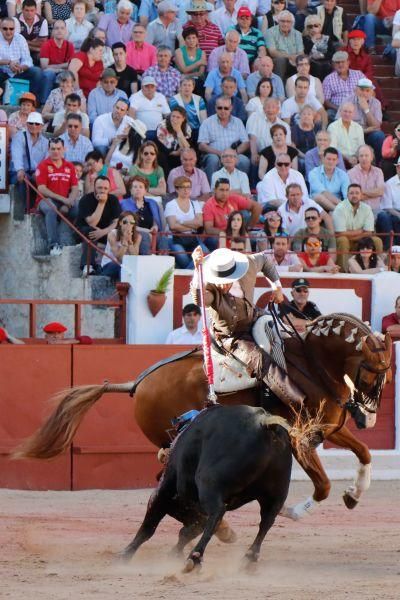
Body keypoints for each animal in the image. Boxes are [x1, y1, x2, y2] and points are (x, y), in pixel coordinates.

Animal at [14, 314, 390, 520]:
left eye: (388, 372)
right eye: (374, 371)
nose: (371, 418)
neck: (313, 364)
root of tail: (138, 383)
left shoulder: (330, 428)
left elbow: (365, 453)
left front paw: (354, 495)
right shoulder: (302, 439)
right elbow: (323, 485)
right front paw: (290, 511)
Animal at [120, 404, 292, 572]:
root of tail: (264, 424)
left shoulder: (163, 492)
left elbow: (148, 527)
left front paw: (124, 555)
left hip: (208, 482)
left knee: (217, 511)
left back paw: (195, 557)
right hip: (277, 494)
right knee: (267, 520)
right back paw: (249, 557)